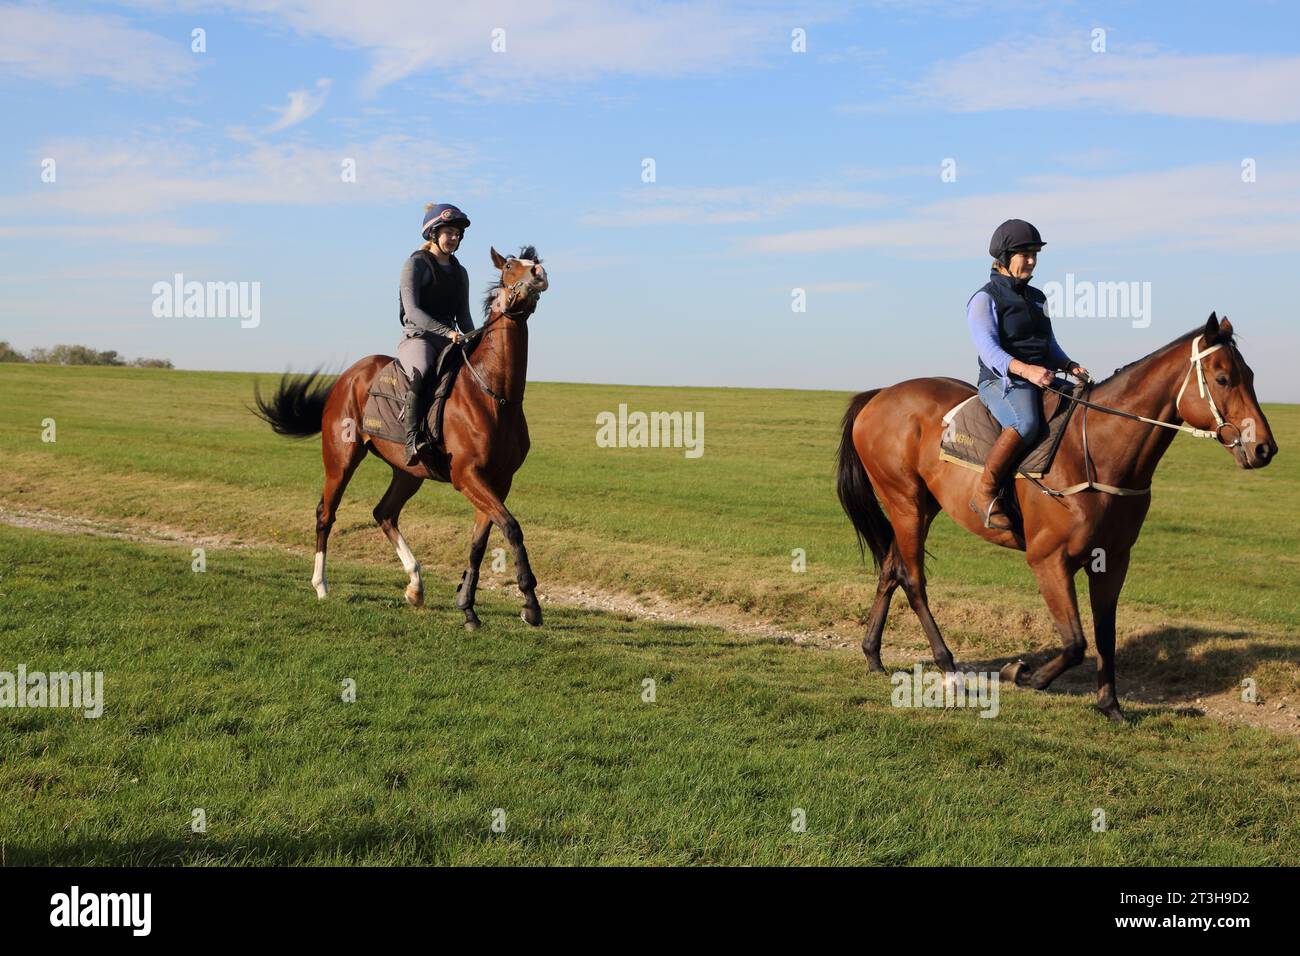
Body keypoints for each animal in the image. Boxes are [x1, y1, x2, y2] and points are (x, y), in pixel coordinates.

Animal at [253, 247, 548, 629]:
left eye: (534, 262)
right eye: (511, 266)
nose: (539, 273)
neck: (494, 394)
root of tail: (348, 377)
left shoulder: (499, 481)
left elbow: (479, 544)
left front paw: (467, 606)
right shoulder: (467, 476)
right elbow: (511, 528)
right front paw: (530, 604)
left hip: (408, 472)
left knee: (384, 513)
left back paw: (415, 586)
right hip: (341, 460)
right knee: (326, 514)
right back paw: (321, 586)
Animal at [837, 317, 1274, 723]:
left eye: (1251, 376)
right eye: (1222, 378)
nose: (1264, 447)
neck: (1097, 451)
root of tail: (879, 395)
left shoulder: (1112, 561)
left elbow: (1104, 635)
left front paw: (1110, 705)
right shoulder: (1048, 559)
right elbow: (1075, 643)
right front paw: (1023, 674)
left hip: (921, 507)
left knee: (890, 570)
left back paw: (873, 655)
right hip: (905, 503)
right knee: (913, 581)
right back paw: (948, 668)